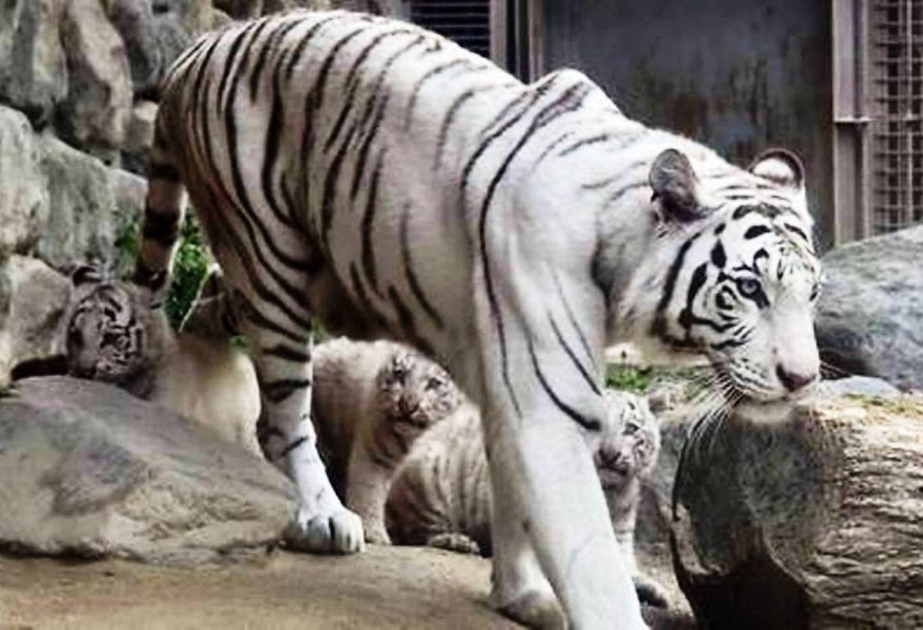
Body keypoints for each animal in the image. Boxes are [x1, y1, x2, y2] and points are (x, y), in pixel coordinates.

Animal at [310, 337, 462, 543]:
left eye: (433, 383)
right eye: (400, 375)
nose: (407, 405)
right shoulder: (375, 456)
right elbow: (369, 491)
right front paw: (374, 534)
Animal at [384, 389, 668, 608]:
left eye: (630, 428)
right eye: (591, 426)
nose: (610, 454)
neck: (609, 493)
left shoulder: (620, 538)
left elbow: (628, 571)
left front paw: (655, 591)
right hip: (429, 476)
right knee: (415, 534)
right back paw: (457, 541)